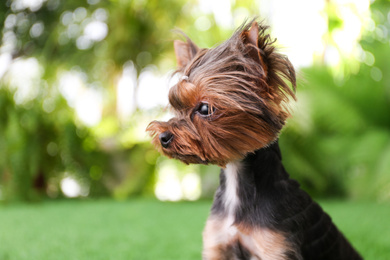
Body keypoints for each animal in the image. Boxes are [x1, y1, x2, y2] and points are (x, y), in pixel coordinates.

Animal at [147, 19, 362, 260]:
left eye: (204, 109)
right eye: (175, 107)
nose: (163, 137)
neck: (236, 183)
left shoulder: (276, 247)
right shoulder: (216, 243)